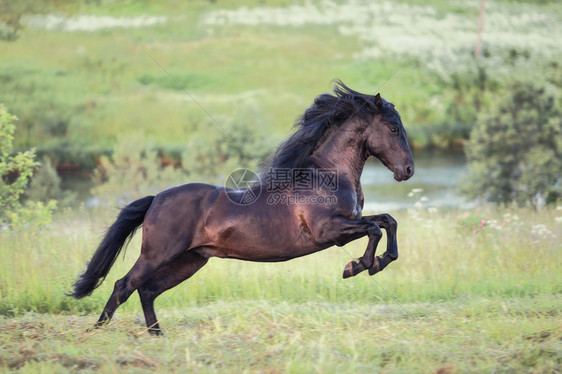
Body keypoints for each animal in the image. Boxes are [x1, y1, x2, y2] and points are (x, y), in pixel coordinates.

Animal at [69, 81, 412, 334]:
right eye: (394, 128)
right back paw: (97, 331)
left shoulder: (348, 223)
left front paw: (376, 263)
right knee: (124, 284)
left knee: (147, 290)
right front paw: (357, 266)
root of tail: (155, 199)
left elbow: (387, 221)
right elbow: (374, 228)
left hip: (190, 261)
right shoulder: (330, 231)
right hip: (158, 254)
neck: (326, 174)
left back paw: (156, 334)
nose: (407, 170)